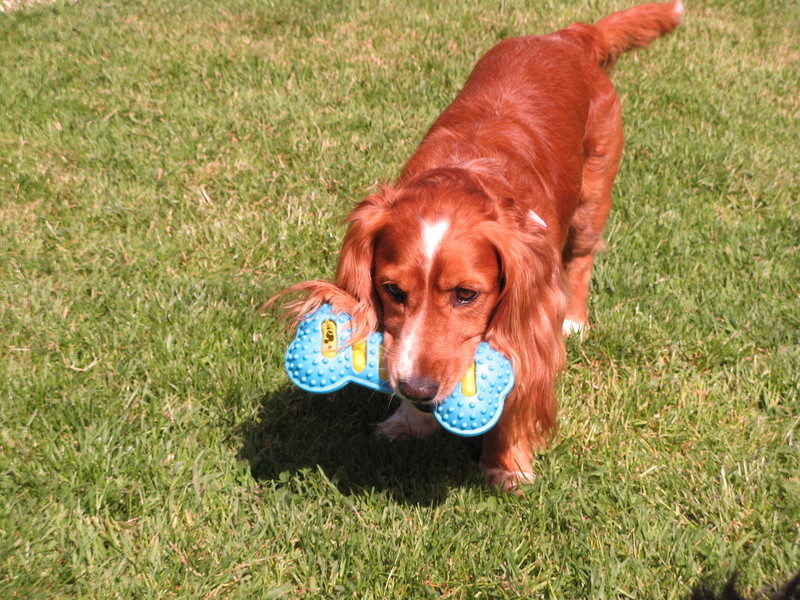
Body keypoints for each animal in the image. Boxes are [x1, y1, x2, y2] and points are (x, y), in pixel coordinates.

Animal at [274, 0, 680, 490]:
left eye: (467, 295)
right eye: (392, 291)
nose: (416, 390)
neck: (463, 176)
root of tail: (567, 37)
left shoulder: (534, 301)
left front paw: (507, 463)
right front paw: (410, 421)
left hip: (593, 194)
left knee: (581, 258)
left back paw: (576, 321)